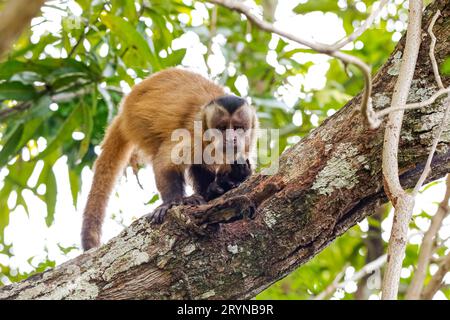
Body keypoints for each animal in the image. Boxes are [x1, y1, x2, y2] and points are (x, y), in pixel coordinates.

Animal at [80, 69, 256, 251]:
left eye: (238, 128)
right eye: (222, 128)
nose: (231, 138)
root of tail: (123, 111)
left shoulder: (247, 143)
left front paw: (235, 177)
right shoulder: (193, 133)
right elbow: (165, 163)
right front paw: (172, 203)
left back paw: (211, 191)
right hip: (138, 125)